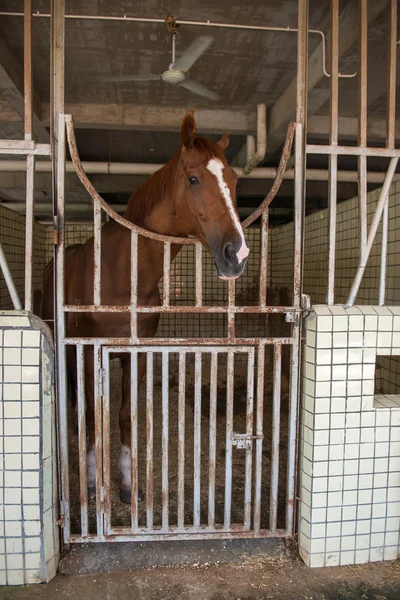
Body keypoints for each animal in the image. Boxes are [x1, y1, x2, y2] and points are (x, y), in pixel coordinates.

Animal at [43, 110, 250, 504]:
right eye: (194, 178)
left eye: (233, 180)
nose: (238, 254)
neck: (124, 274)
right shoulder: (90, 351)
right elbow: (94, 414)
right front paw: (91, 479)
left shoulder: (134, 354)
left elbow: (124, 415)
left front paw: (127, 483)